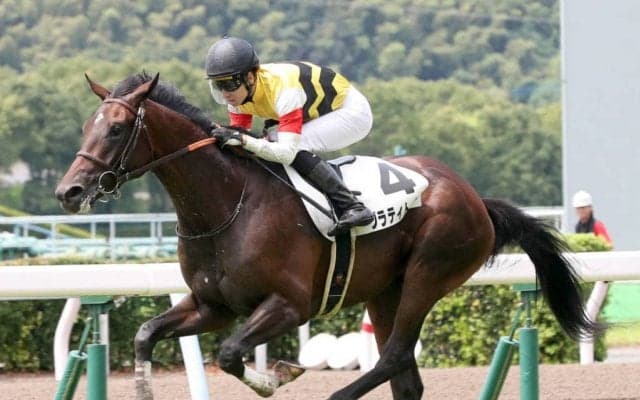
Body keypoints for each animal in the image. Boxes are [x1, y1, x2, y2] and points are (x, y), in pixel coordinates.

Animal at [54, 72, 597, 400]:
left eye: (117, 128)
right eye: (84, 126)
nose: (69, 191)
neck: (227, 206)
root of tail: (475, 198)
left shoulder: (290, 305)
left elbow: (230, 354)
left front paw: (280, 374)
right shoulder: (213, 306)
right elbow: (146, 334)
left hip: (430, 271)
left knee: (395, 355)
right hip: (386, 290)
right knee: (404, 375)